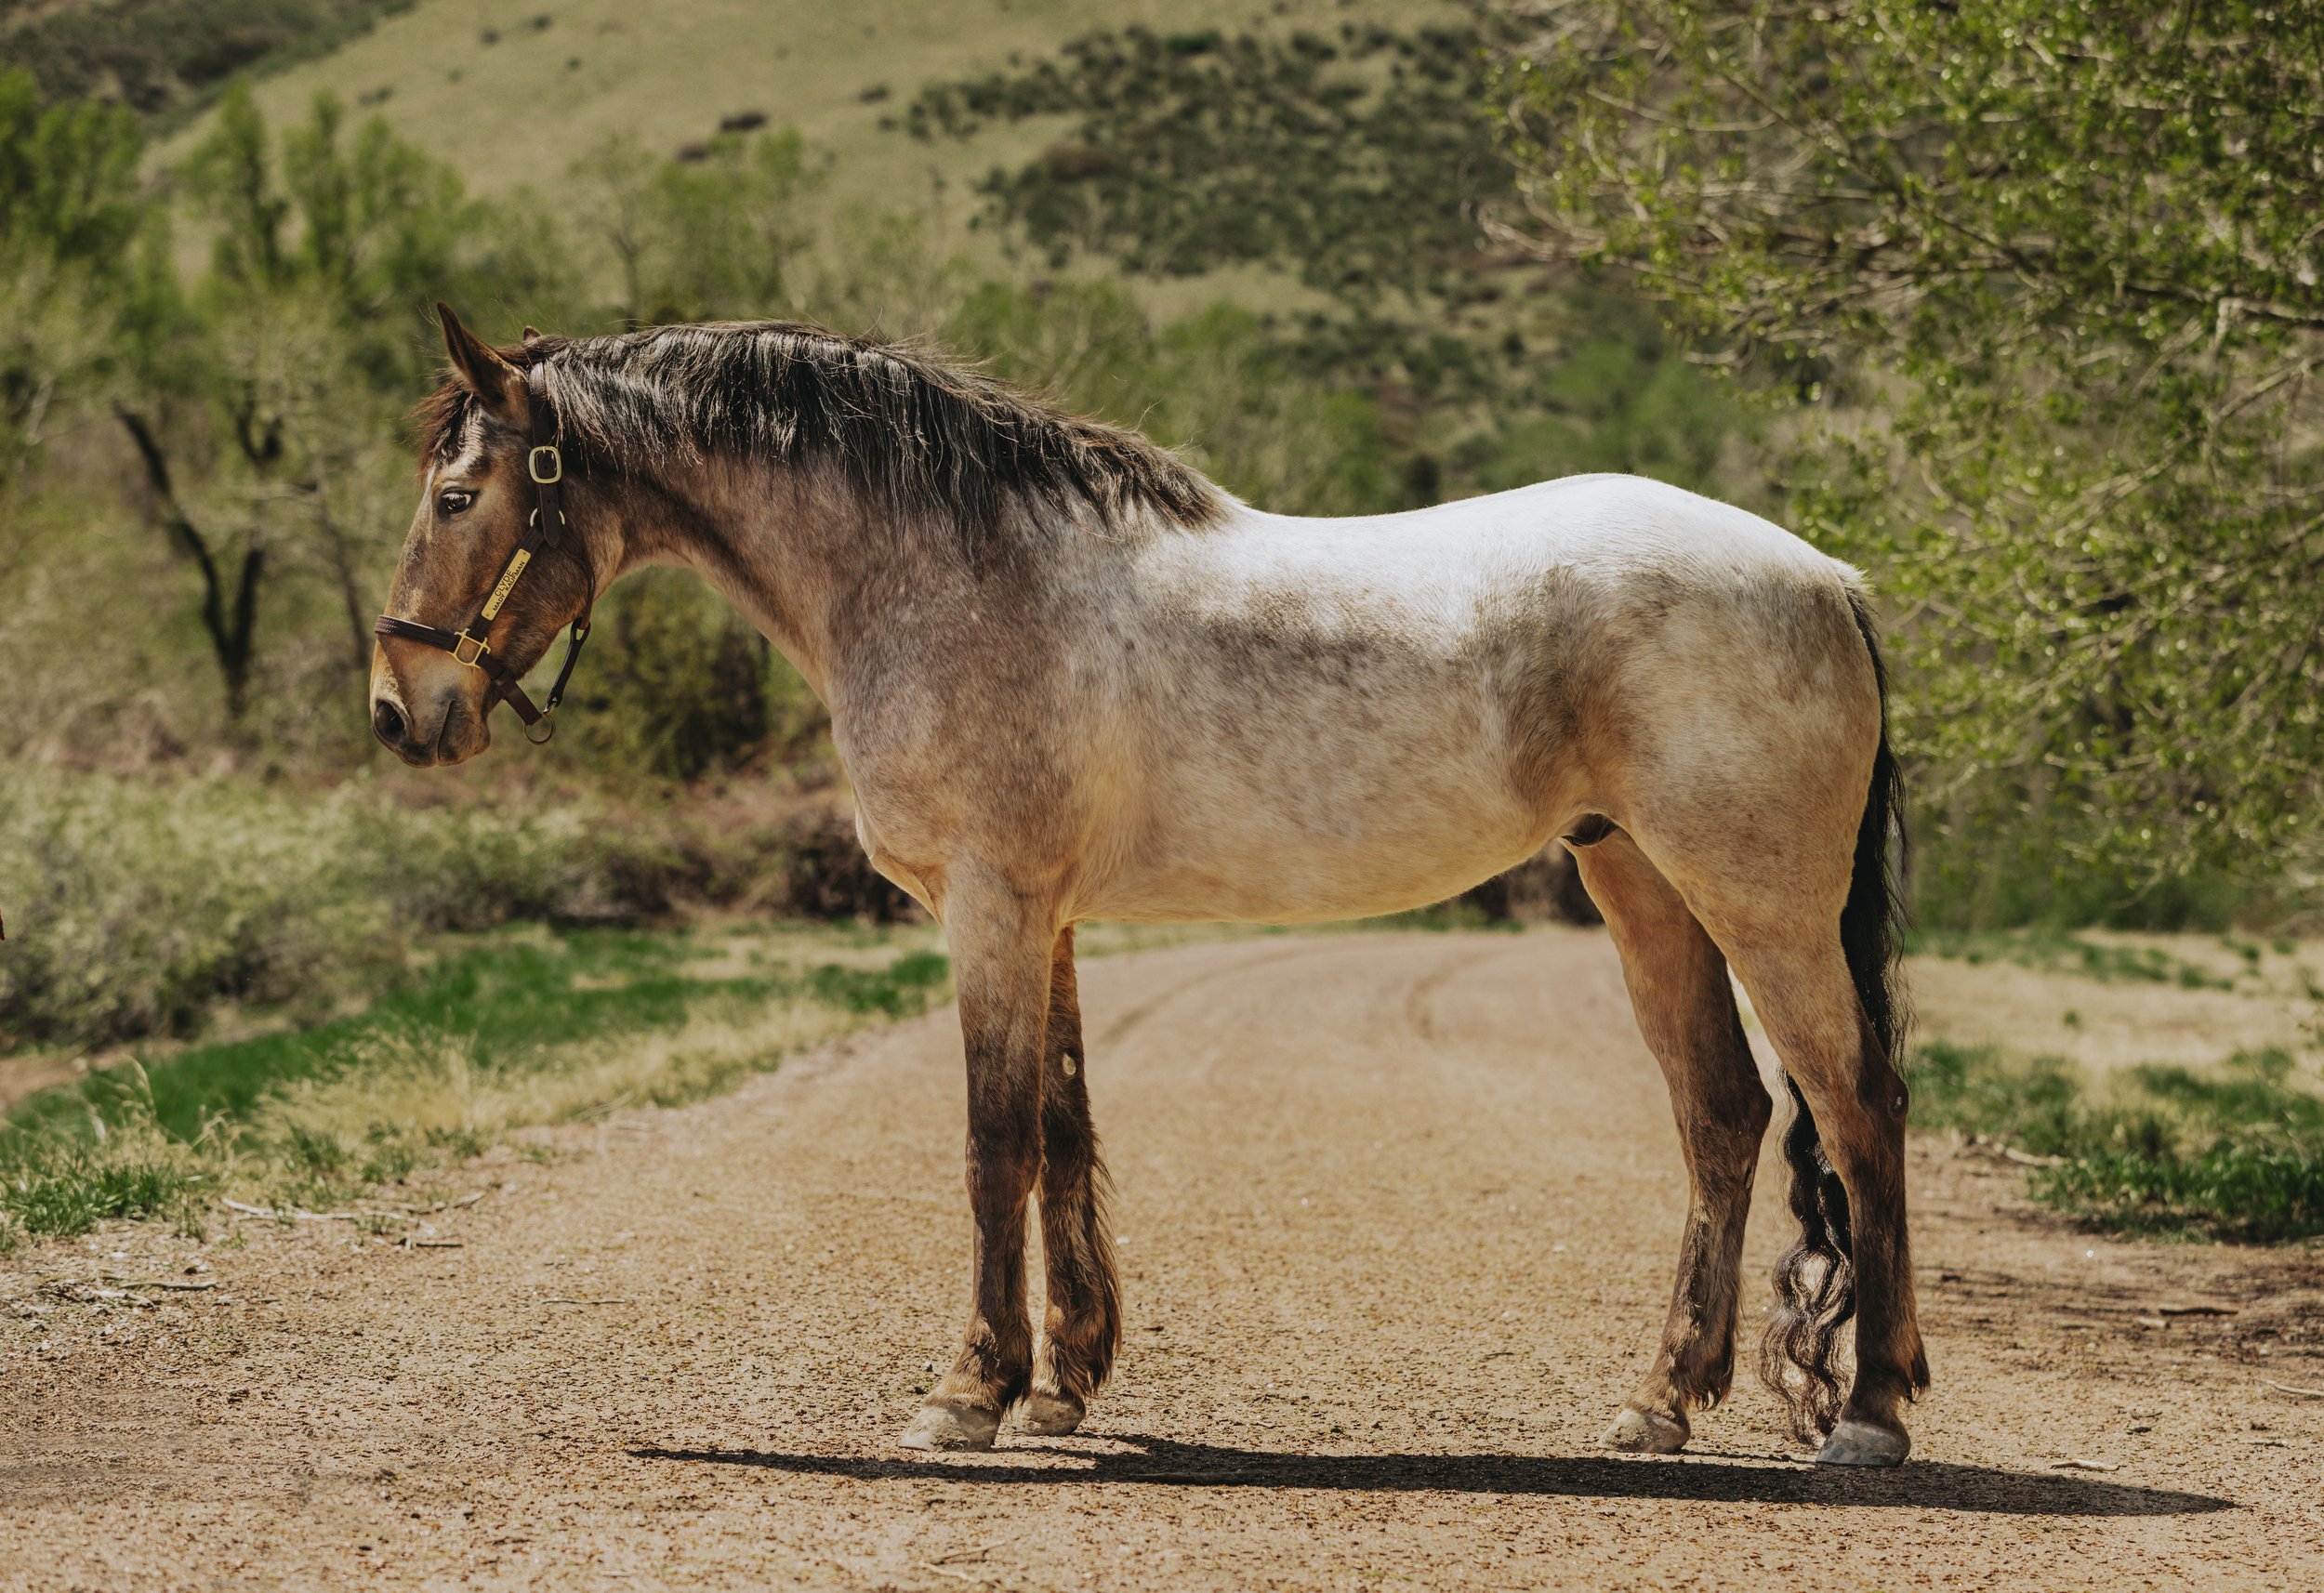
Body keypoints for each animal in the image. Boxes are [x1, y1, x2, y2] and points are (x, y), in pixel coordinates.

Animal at [370, 306, 1927, 1467]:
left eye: (460, 494)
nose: (400, 710)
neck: (953, 572)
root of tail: (1828, 575)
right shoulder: (1044, 914)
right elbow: (1063, 1127)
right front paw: (1061, 1380)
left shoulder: (990, 905)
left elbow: (994, 1139)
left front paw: (966, 1392)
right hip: (1642, 883)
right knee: (1723, 1115)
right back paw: (1660, 1401)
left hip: (1760, 903)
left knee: (1857, 1106)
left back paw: (1870, 1412)